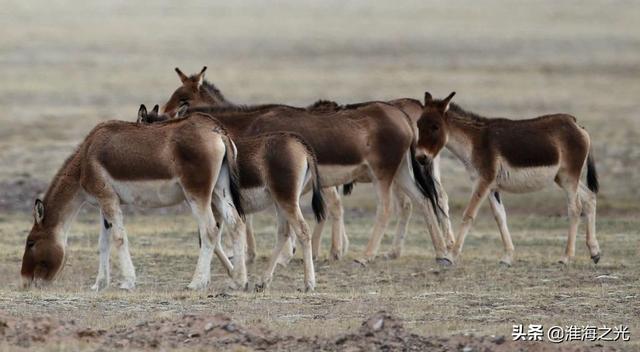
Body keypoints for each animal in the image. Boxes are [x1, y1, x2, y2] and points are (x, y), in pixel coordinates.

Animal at [19, 114, 245, 290]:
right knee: (236, 224)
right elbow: (103, 243)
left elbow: (119, 238)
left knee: (210, 230)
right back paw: (240, 281)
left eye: (31, 242)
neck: (86, 157)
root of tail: (216, 130)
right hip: (219, 191)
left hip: (197, 195)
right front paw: (99, 284)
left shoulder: (108, 200)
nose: (25, 281)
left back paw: (197, 283)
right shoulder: (104, 205)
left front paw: (127, 282)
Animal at [139, 107, 324, 292]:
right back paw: (263, 282)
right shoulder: (217, 207)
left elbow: (211, 239)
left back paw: (308, 284)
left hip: (286, 199)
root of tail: (299, 143)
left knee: (302, 231)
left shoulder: (212, 206)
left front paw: (229, 275)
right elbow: (215, 239)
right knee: (283, 233)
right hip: (281, 201)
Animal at [416, 92, 600, 266]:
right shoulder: (491, 186)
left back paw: (566, 257)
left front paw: (450, 257)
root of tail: (575, 123)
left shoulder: (483, 181)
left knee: (575, 208)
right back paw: (595, 252)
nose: (420, 158)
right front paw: (507, 257)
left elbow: (468, 215)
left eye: (435, 126)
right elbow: (500, 217)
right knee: (590, 197)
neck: (475, 142)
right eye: (418, 124)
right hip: (562, 177)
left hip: (570, 178)